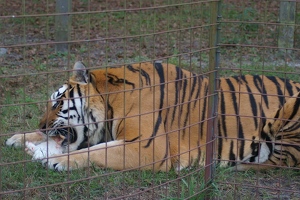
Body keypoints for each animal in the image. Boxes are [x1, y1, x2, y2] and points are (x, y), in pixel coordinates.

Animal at [4, 61, 300, 172]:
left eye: (57, 103)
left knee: (283, 161)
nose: (42, 125)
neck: (111, 101)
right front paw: (18, 138)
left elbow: (97, 151)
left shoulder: (149, 147)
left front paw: (56, 160)